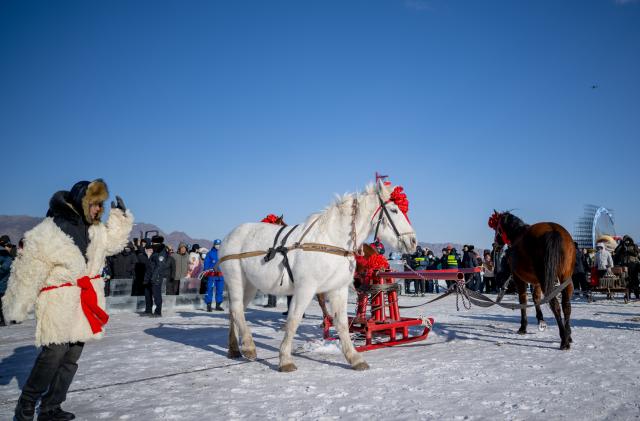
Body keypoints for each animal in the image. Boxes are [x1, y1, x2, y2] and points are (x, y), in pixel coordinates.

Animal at [219, 180, 417, 371]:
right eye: (394, 210)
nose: (413, 241)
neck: (330, 241)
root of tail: (229, 236)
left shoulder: (338, 289)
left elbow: (342, 323)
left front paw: (354, 358)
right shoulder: (305, 288)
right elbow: (293, 320)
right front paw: (285, 359)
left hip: (250, 285)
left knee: (235, 312)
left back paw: (234, 348)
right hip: (236, 279)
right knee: (236, 309)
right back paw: (248, 346)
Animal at [489, 211, 575, 350]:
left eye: (497, 229)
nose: (494, 246)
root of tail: (553, 230)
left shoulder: (518, 278)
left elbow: (523, 300)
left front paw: (523, 327)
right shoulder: (537, 282)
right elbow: (536, 298)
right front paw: (541, 320)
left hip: (546, 279)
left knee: (555, 305)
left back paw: (564, 340)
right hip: (565, 278)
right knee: (566, 306)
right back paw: (568, 335)